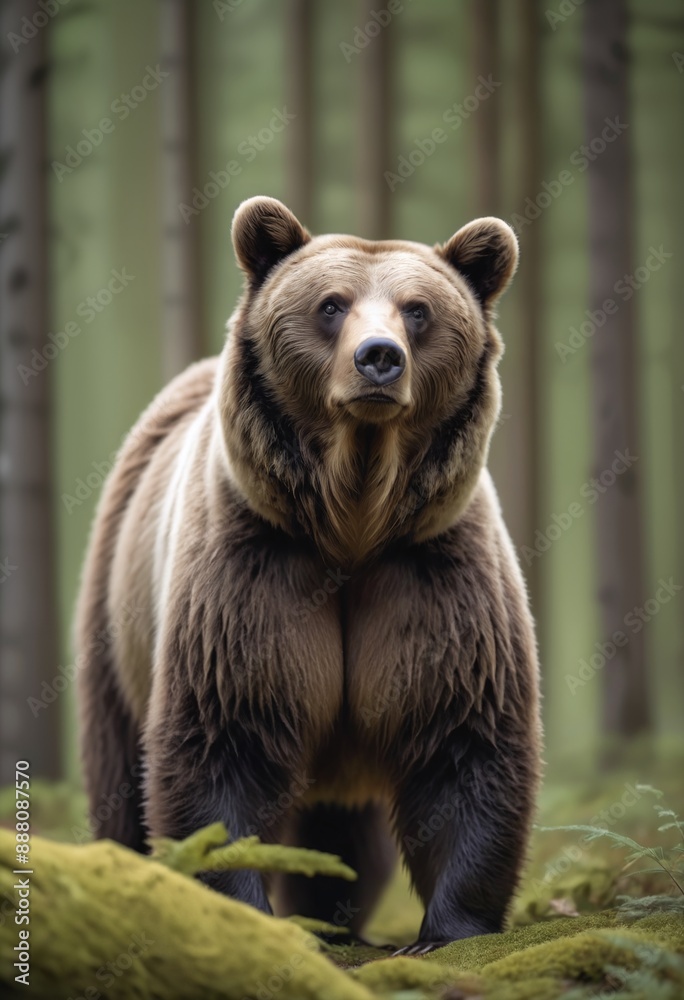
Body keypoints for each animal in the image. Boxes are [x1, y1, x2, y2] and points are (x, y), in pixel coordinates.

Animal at [75, 195, 542, 952]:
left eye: (417, 310)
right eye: (331, 304)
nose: (378, 358)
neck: (352, 521)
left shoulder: (432, 569)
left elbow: (462, 736)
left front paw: (446, 928)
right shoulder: (253, 567)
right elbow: (222, 736)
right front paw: (239, 910)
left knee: (343, 831)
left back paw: (333, 913)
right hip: (116, 618)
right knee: (119, 771)